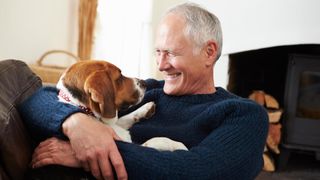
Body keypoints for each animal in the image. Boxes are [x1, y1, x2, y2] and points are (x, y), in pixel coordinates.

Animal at [57, 60, 188, 150]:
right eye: (120, 77)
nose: (144, 82)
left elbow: (125, 118)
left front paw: (146, 108)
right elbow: (154, 141)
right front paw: (176, 144)